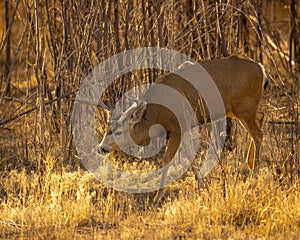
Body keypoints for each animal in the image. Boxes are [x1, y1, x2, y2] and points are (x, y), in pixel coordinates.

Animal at [96, 55, 268, 201]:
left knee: (258, 134)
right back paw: (250, 162)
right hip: (239, 110)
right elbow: (191, 156)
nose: (101, 148)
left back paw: (254, 175)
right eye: (106, 130)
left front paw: (158, 196)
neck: (158, 113)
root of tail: (261, 69)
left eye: (118, 132)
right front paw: (201, 185)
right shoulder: (184, 128)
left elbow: (167, 160)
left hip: (245, 107)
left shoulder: (176, 128)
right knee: (260, 118)